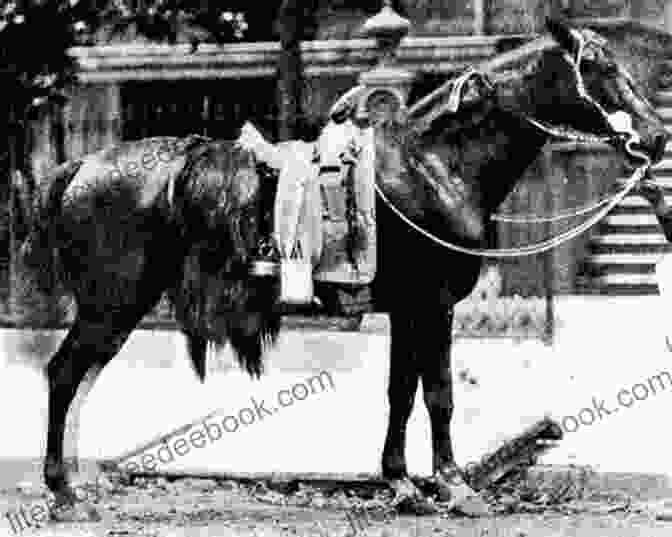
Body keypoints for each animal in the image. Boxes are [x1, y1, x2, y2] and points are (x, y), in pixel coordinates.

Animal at [18, 17, 668, 520]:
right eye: (598, 67)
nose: (656, 136)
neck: (433, 165)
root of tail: (76, 167)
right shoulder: (433, 304)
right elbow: (439, 393)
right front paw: (455, 486)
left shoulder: (407, 309)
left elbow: (401, 392)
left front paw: (402, 482)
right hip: (112, 303)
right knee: (65, 374)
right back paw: (64, 491)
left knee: (78, 379)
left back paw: (72, 484)